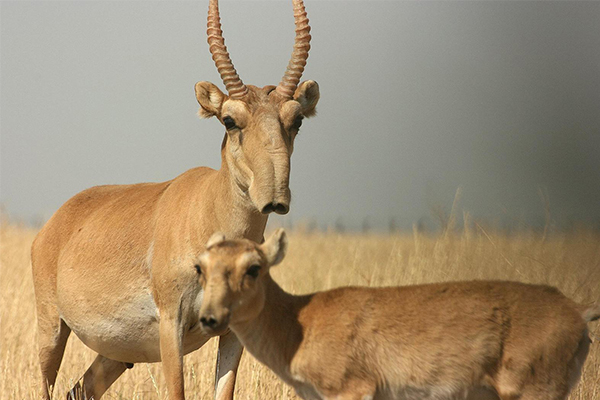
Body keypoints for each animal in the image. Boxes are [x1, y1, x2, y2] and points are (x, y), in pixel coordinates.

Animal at [29, 1, 318, 398]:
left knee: (80, 389)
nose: (274, 196)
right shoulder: (172, 326)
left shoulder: (233, 332)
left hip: (115, 355)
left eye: (297, 120)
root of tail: (55, 224)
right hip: (52, 330)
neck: (207, 209)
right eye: (229, 120)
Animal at [197, 228, 600, 400]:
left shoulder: (352, 390)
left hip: (536, 391)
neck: (299, 323)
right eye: (201, 267)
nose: (209, 319)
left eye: (253, 268)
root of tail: (577, 310)